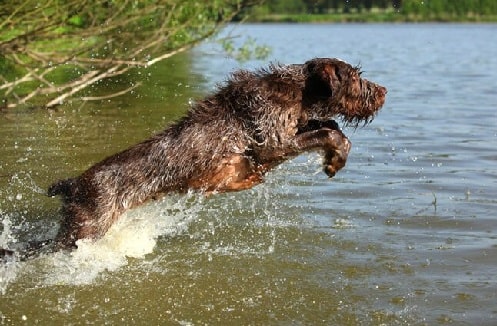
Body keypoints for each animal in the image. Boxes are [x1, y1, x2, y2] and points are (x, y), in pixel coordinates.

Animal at [0, 56, 388, 258]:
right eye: (356, 79)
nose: (383, 91)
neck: (298, 90)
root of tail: (73, 184)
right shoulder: (272, 143)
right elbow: (328, 131)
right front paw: (336, 156)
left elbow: (327, 123)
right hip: (83, 231)